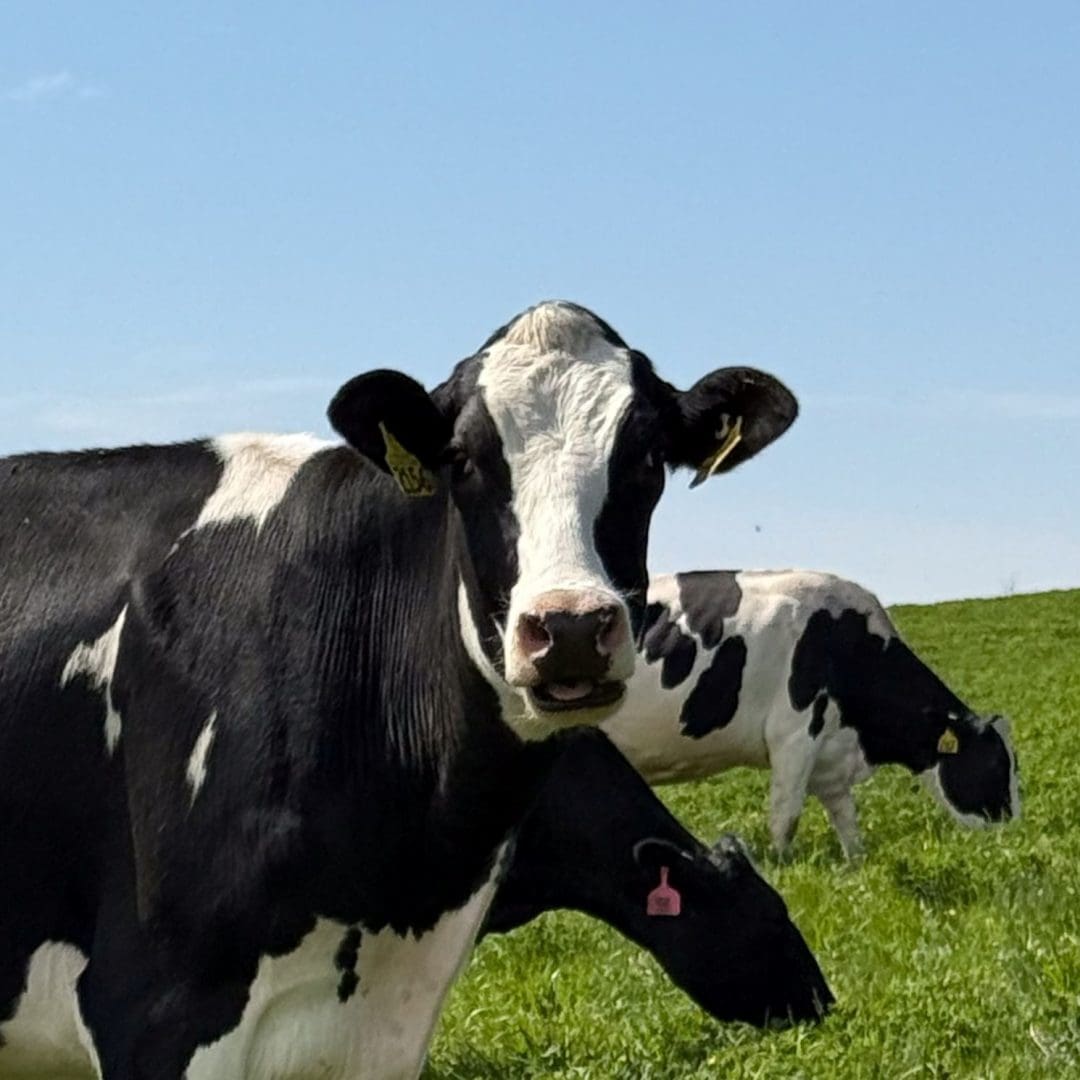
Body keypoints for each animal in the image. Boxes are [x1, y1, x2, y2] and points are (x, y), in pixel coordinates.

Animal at [600, 570, 1020, 858]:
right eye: (995, 765)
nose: (1014, 834)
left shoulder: (830, 754)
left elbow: (846, 819)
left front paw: (856, 868)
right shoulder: (794, 736)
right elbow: (785, 816)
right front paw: (781, 866)